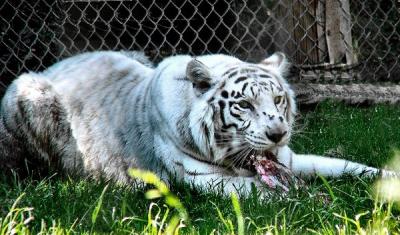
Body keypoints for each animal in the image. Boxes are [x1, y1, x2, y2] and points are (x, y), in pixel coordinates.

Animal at [0, 52, 394, 196]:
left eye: (278, 100)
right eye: (245, 105)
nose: (278, 134)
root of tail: (56, 66)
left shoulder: (290, 159)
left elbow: (351, 165)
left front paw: (389, 179)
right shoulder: (201, 179)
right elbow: (272, 192)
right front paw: (317, 201)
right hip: (23, 93)